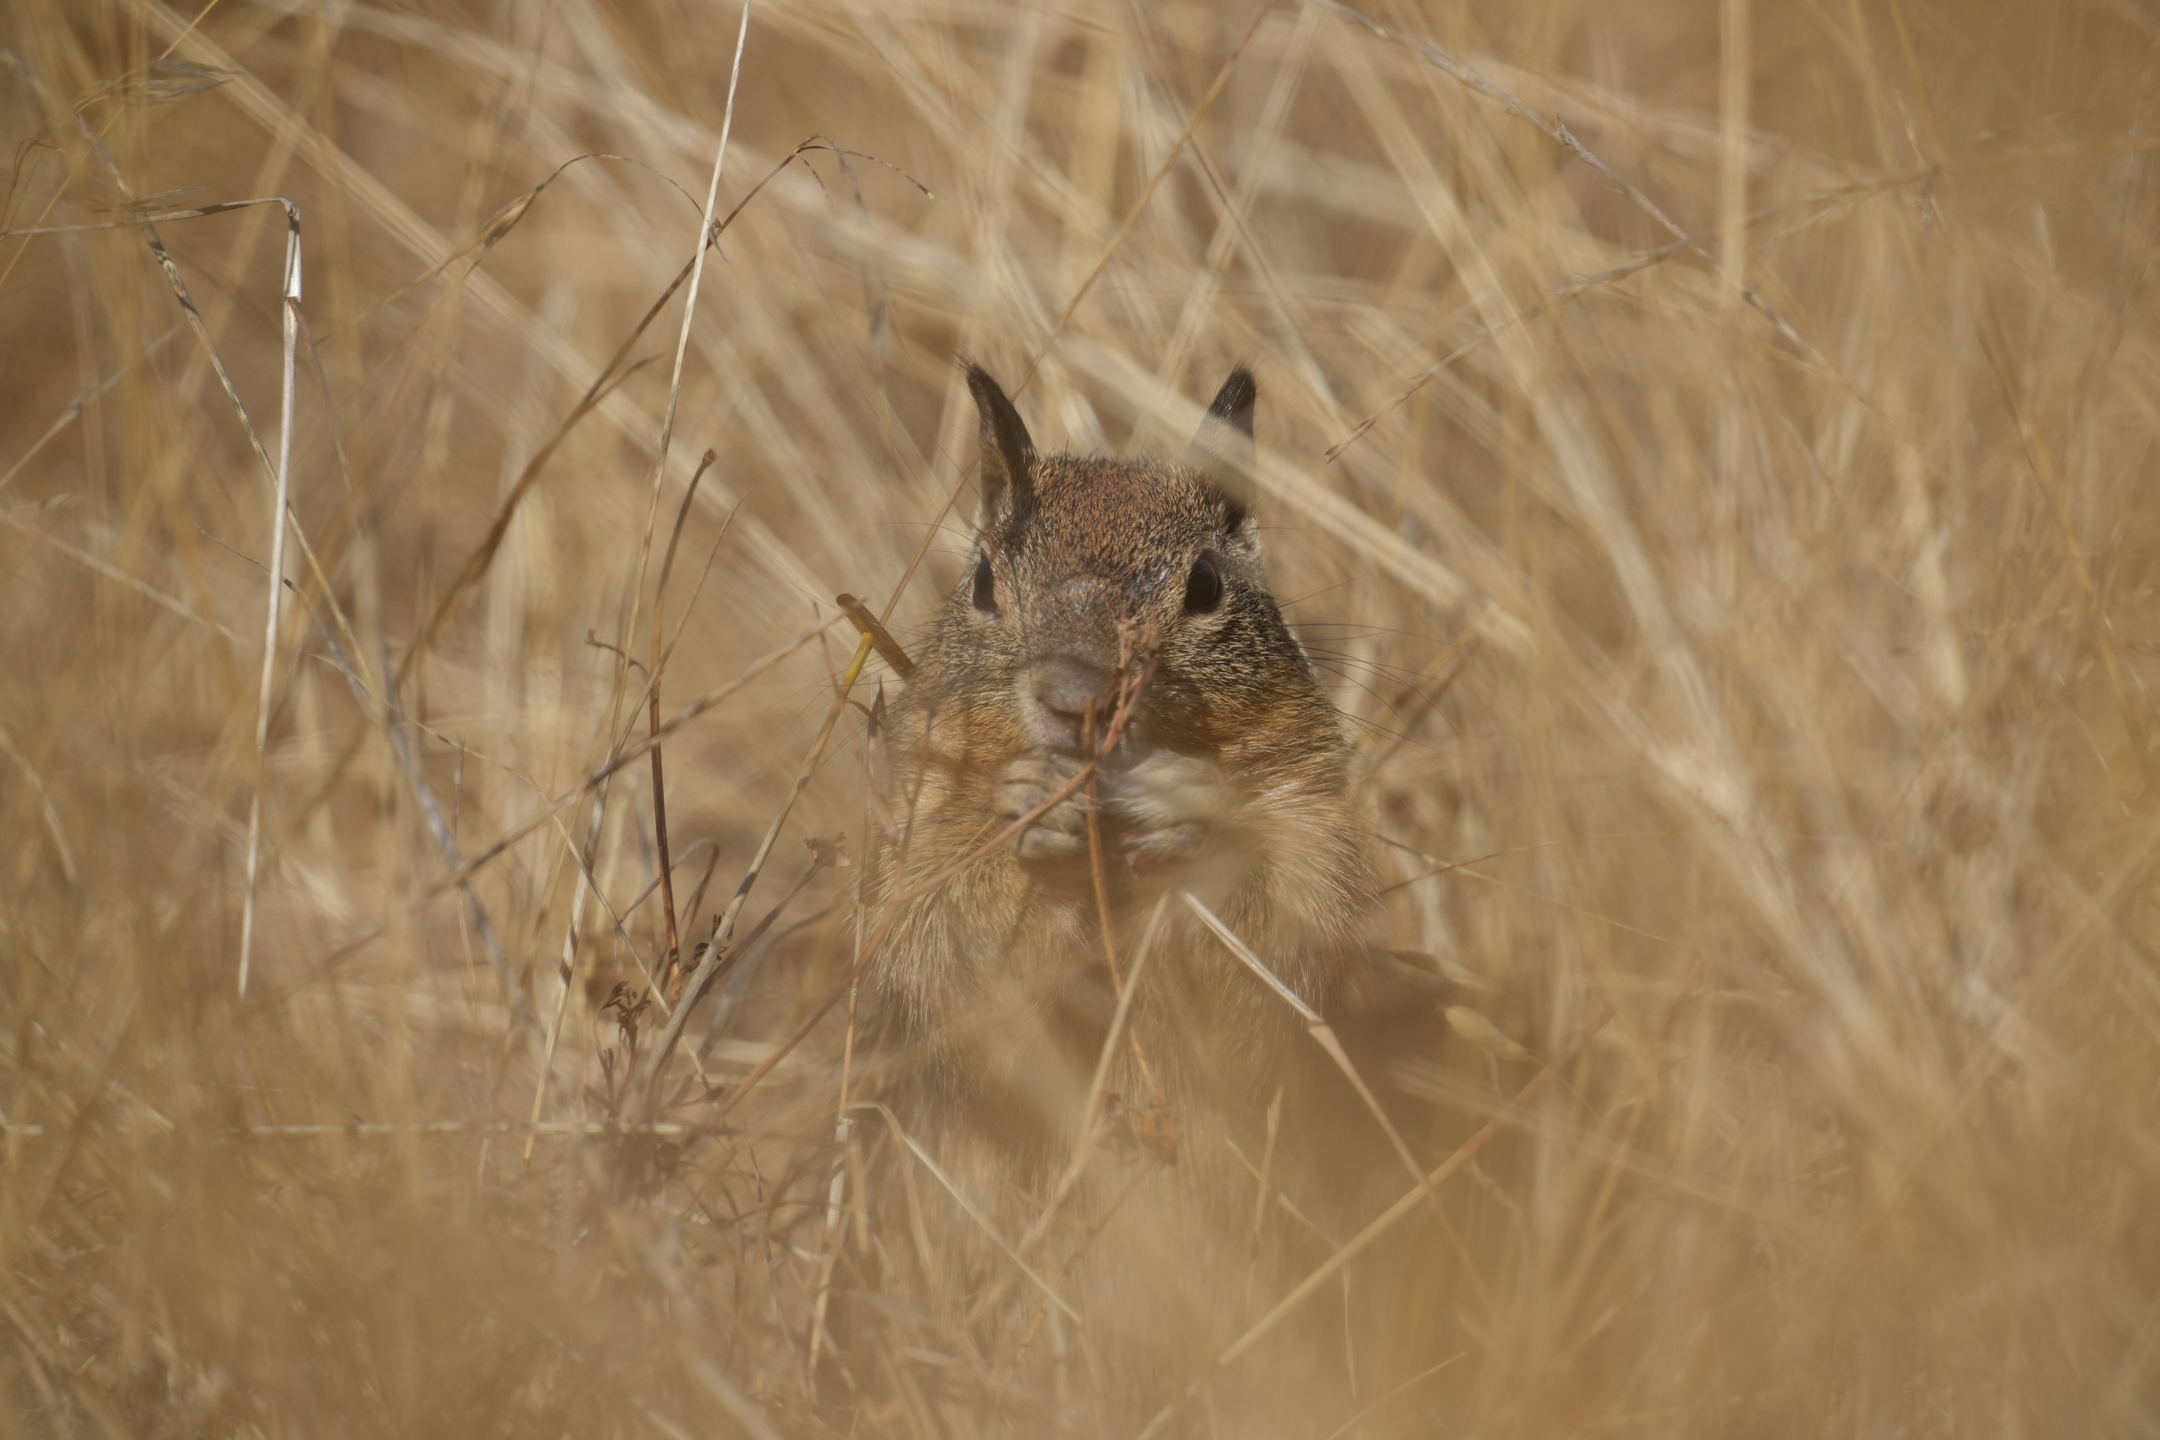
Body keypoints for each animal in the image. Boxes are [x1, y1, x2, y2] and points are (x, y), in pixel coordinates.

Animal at [850, 363, 1386, 1421]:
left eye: (1207, 587)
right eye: (984, 581)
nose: (1076, 697)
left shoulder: (1311, 826)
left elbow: (1272, 971)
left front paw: (1188, 824)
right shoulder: (914, 842)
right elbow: (948, 956)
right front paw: (1034, 828)